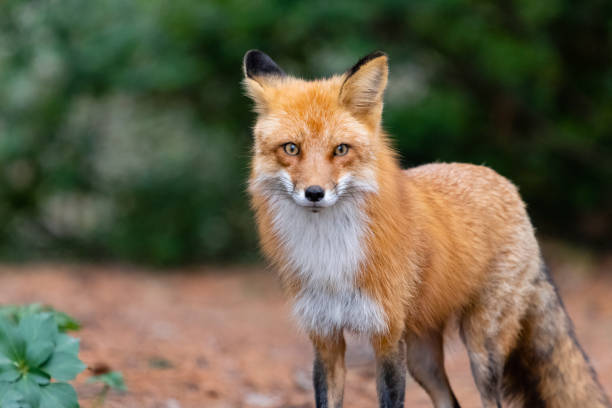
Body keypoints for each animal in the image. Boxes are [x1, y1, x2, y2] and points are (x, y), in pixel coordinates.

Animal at [243, 50, 608, 408]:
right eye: (291, 148)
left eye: (341, 150)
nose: (315, 193)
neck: (330, 255)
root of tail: (504, 183)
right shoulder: (325, 338)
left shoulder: (388, 338)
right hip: (422, 358)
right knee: (450, 401)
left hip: (480, 351)